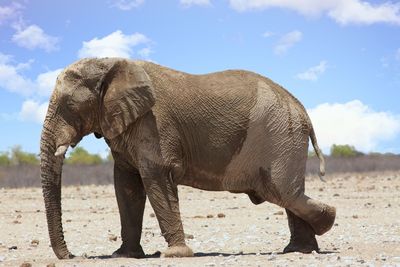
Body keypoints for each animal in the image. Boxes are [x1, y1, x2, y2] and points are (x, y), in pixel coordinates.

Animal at [40, 57, 336, 260]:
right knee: (287, 194)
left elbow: (156, 176)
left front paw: (174, 254)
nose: (72, 256)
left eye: (69, 105)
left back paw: (326, 222)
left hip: (281, 134)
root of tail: (303, 110)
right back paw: (298, 250)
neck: (110, 63)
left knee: (282, 191)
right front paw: (123, 255)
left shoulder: (153, 124)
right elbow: (126, 185)